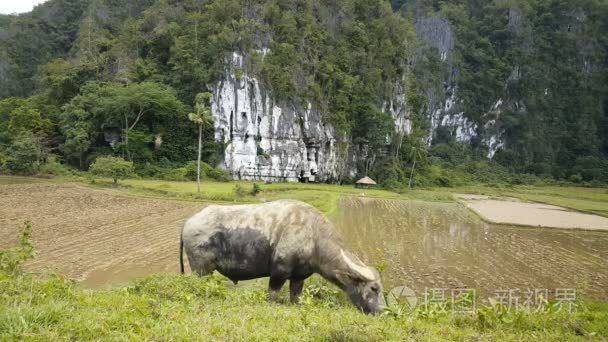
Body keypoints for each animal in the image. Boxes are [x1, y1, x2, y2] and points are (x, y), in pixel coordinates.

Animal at [178, 200, 382, 316]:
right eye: (374, 288)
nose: (380, 312)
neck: (314, 237)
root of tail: (188, 223)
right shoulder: (279, 271)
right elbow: (272, 294)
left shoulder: (299, 277)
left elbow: (296, 296)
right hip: (201, 269)